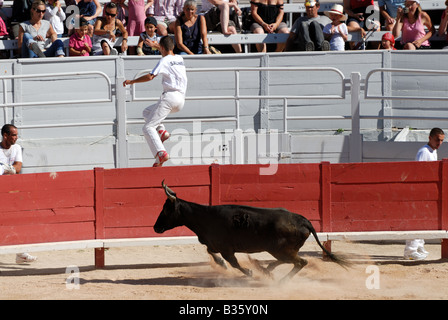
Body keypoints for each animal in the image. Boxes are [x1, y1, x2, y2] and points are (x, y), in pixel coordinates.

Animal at [154, 181, 350, 278]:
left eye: (166, 210)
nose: (155, 227)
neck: (205, 216)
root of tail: (303, 220)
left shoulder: (226, 249)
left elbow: (233, 262)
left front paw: (247, 272)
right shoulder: (215, 245)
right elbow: (212, 252)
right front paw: (222, 264)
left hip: (281, 250)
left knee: (301, 262)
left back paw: (278, 280)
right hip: (281, 250)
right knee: (288, 261)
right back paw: (265, 268)